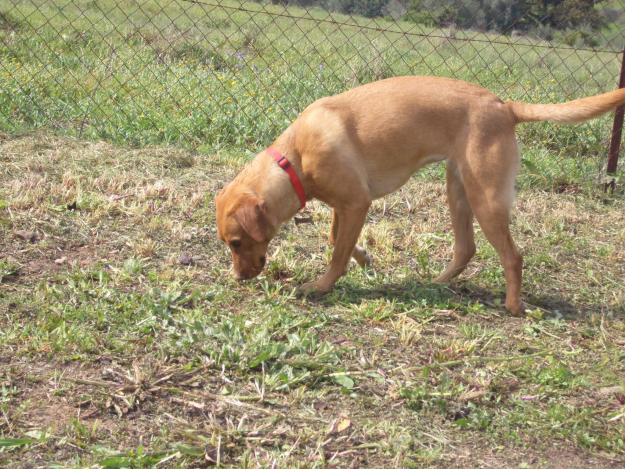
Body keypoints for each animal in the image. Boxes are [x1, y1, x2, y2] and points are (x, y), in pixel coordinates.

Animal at [214, 77, 624, 314]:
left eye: (236, 243)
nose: (237, 278)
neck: (294, 158)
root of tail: (504, 106)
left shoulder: (356, 202)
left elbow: (336, 254)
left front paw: (321, 286)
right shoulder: (346, 203)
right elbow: (336, 238)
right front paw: (364, 257)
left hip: (486, 198)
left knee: (513, 256)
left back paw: (512, 306)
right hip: (458, 191)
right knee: (466, 248)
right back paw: (437, 283)